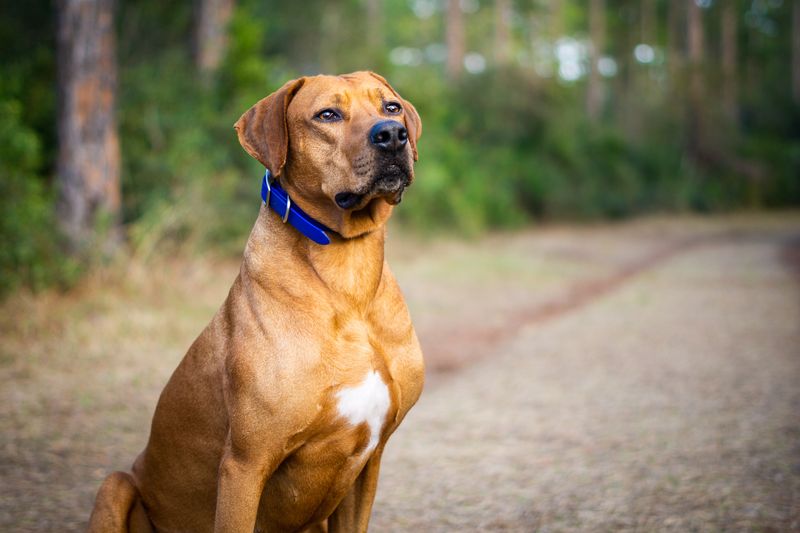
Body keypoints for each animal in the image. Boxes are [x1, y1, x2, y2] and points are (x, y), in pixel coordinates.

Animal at [87, 71, 424, 532]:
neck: (348, 276)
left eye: (391, 107)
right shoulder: (245, 465)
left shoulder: (369, 462)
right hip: (116, 484)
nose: (392, 134)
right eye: (327, 115)